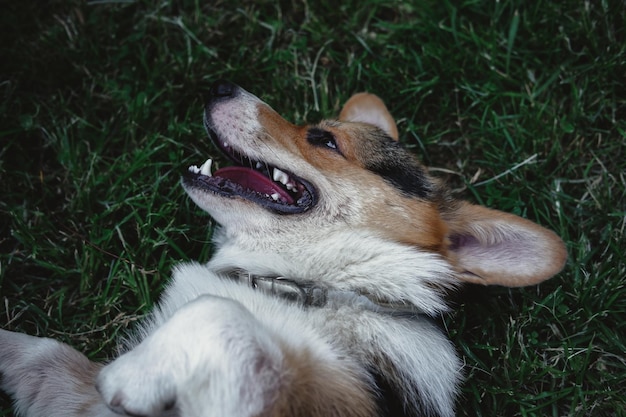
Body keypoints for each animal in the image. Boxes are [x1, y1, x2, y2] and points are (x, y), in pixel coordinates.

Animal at [0, 80, 564, 416]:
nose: (220, 84)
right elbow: (44, 355)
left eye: (325, 139)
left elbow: (221, 314)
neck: (306, 287)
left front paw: (130, 375)